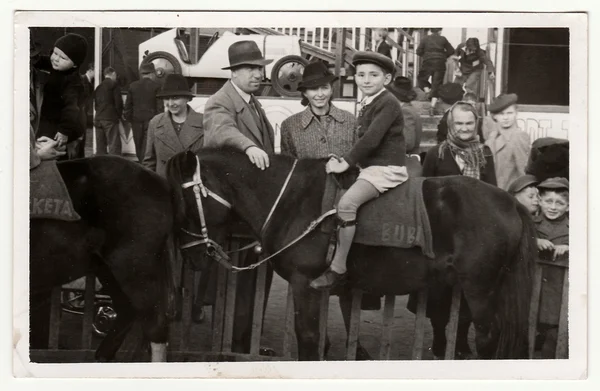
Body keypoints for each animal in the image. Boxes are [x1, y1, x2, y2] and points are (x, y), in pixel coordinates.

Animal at [164, 149, 536, 362]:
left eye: (184, 205)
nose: (190, 256)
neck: (293, 199)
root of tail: (510, 202)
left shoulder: (305, 284)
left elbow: (308, 340)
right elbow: (319, 340)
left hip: (480, 289)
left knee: (487, 339)